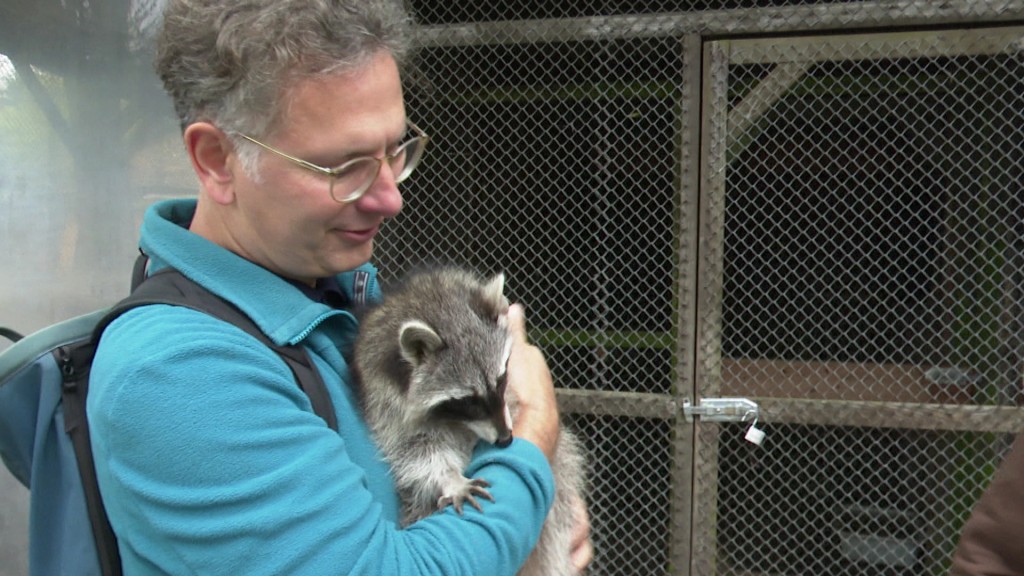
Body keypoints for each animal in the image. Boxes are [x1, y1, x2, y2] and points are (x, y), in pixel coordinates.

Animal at [354, 266, 585, 573]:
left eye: (501, 379)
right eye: (468, 401)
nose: (506, 439)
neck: (436, 306)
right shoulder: (383, 397)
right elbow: (413, 448)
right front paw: (449, 477)